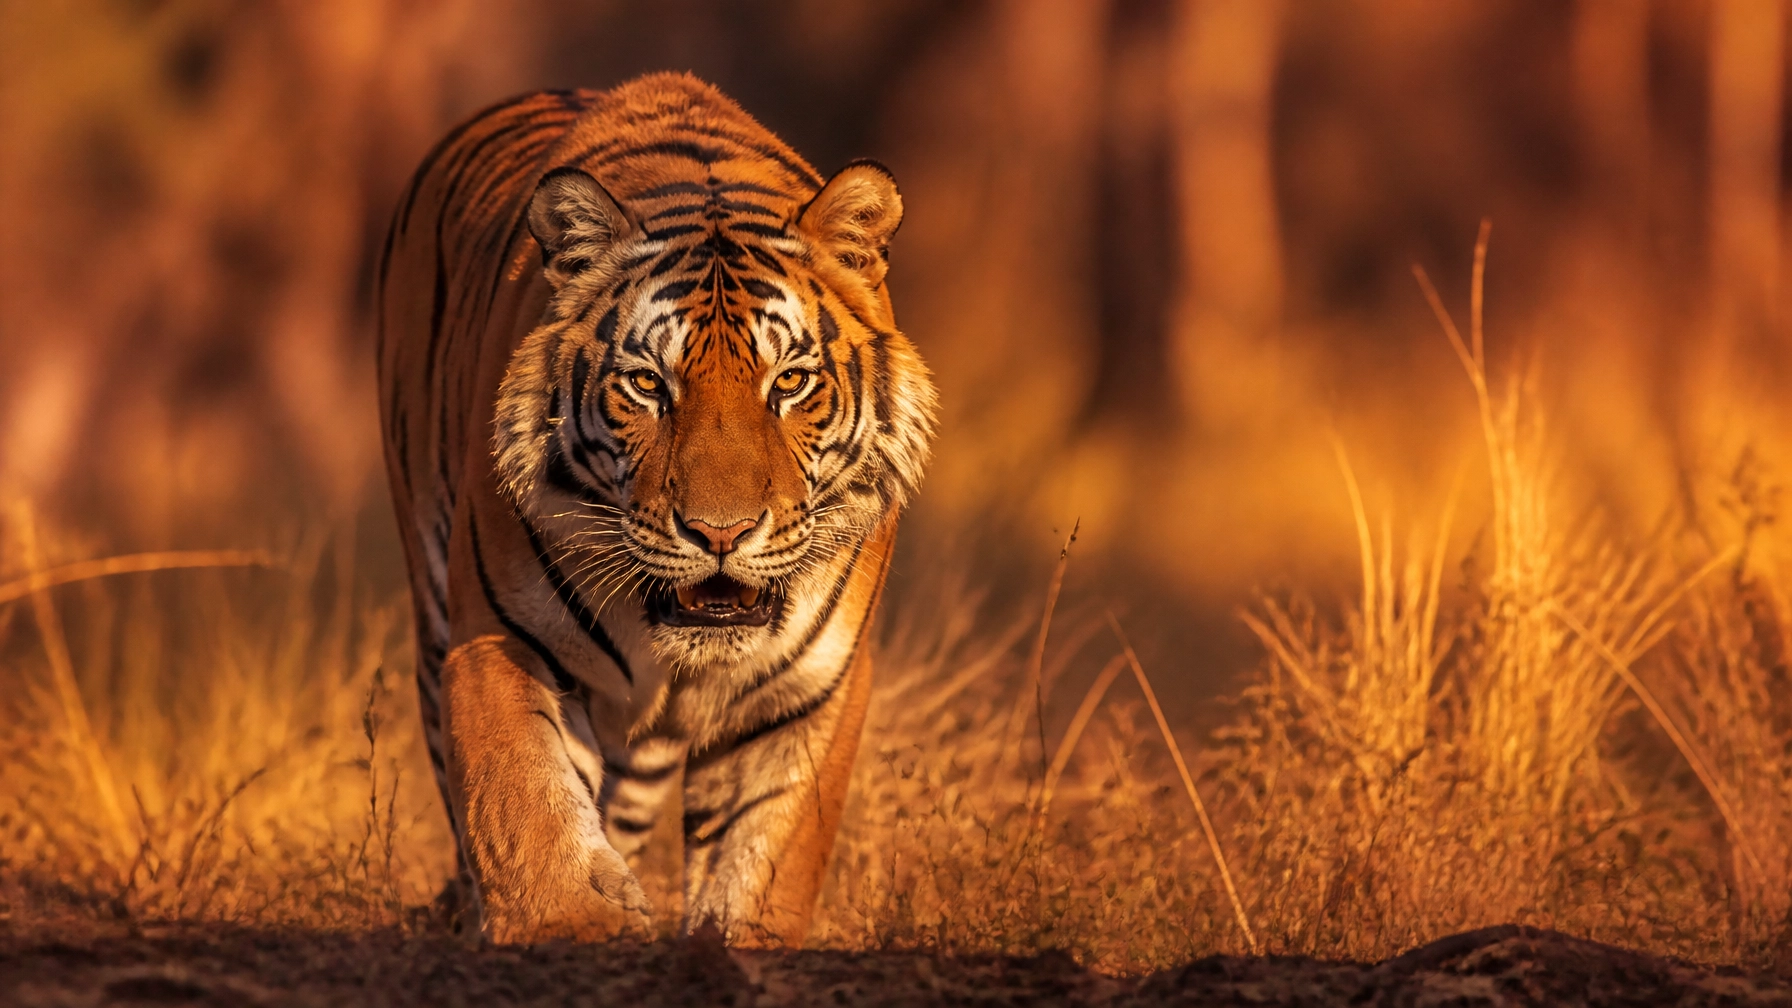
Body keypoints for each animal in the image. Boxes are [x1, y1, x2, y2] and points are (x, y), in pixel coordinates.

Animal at [375, 72, 936, 947]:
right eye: (647, 385)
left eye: (789, 382)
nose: (720, 533)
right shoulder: (498, 636)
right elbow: (526, 804)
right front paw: (568, 924)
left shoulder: (812, 686)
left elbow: (766, 860)